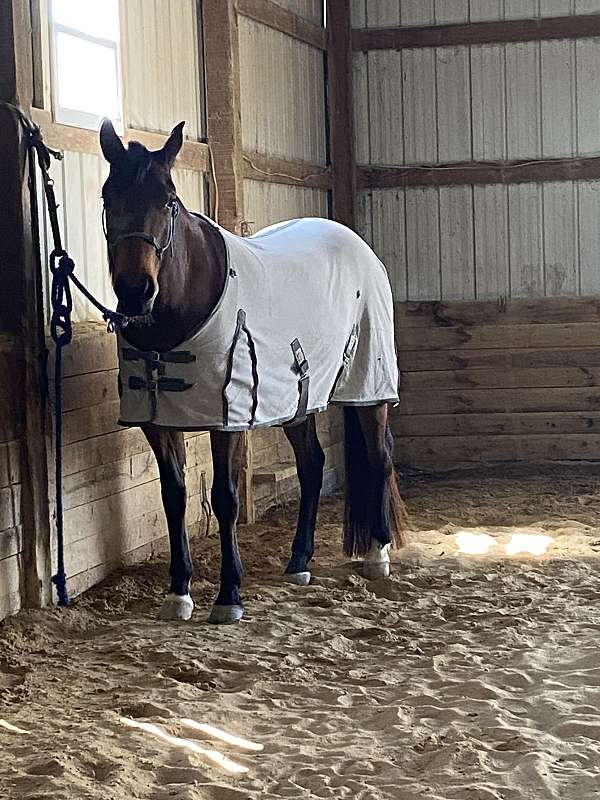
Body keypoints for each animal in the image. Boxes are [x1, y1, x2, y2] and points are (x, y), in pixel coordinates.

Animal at [99, 119, 408, 624]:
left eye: (168, 199)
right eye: (109, 197)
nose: (135, 292)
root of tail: (358, 245)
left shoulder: (228, 418)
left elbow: (225, 499)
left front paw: (229, 596)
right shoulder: (158, 420)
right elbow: (174, 498)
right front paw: (178, 593)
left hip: (369, 388)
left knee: (379, 456)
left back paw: (377, 555)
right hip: (298, 399)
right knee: (312, 465)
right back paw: (299, 561)